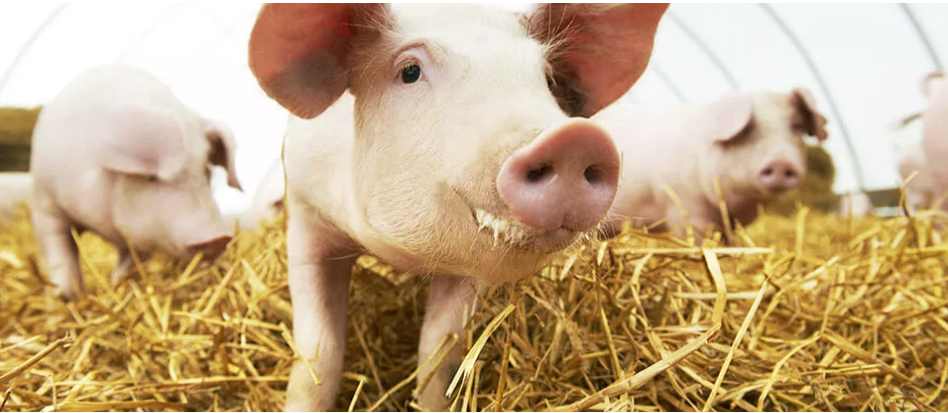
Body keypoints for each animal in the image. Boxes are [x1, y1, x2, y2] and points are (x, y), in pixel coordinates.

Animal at [29, 65, 242, 301]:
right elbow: (60, 253)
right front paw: (64, 297)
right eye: (152, 177)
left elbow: (131, 262)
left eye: (205, 172)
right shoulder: (45, 205)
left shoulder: (141, 235)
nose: (219, 237)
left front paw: (118, 287)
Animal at [247, 3, 667, 410]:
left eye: (547, 79)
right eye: (410, 71)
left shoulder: (472, 271)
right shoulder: (305, 218)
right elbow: (318, 353)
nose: (574, 139)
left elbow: (438, 350)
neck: (403, 256)